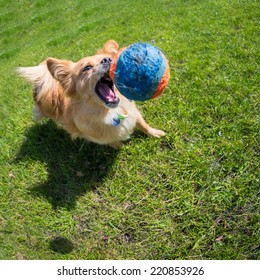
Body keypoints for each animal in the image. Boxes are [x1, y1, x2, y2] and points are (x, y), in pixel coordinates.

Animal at [17, 40, 166, 149]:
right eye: (87, 68)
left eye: (109, 59)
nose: (107, 60)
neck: (110, 112)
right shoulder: (95, 137)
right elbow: (112, 142)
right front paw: (121, 146)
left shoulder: (133, 113)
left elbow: (143, 124)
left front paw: (155, 133)